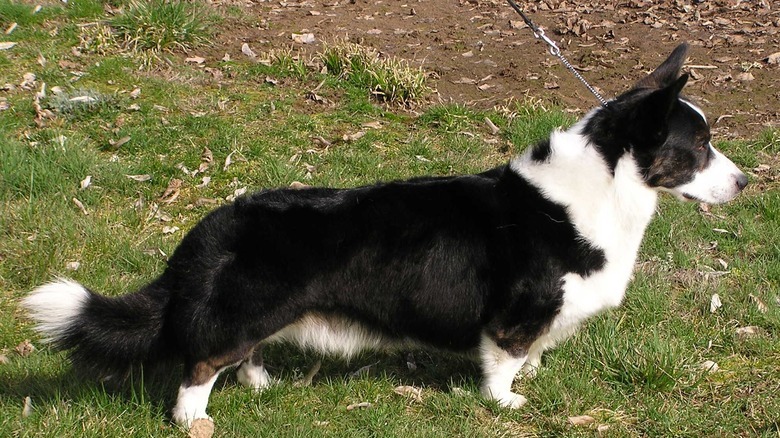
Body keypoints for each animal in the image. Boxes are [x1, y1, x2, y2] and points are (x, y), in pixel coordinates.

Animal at [22, 44, 744, 428]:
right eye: (699, 148)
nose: (744, 184)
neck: (606, 182)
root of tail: (206, 233)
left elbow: (533, 353)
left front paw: (530, 379)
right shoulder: (513, 316)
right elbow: (504, 361)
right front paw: (507, 402)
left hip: (256, 313)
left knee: (238, 353)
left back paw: (261, 385)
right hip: (242, 309)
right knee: (199, 367)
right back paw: (195, 419)